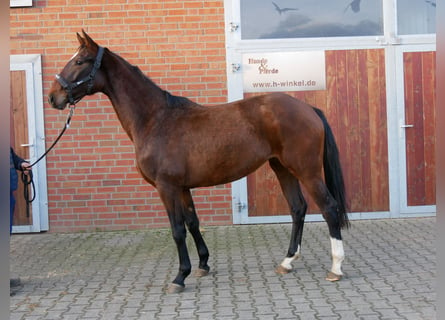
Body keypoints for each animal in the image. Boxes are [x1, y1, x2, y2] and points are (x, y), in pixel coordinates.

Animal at [47, 31, 346, 294]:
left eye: (79, 61)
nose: (53, 97)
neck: (156, 120)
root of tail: (308, 109)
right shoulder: (182, 187)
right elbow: (193, 222)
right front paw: (203, 264)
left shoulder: (166, 187)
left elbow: (177, 230)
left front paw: (180, 277)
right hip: (282, 168)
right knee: (298, 208)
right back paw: (287, 261)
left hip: (306, 170)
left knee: (329, 208)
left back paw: (335, 268)